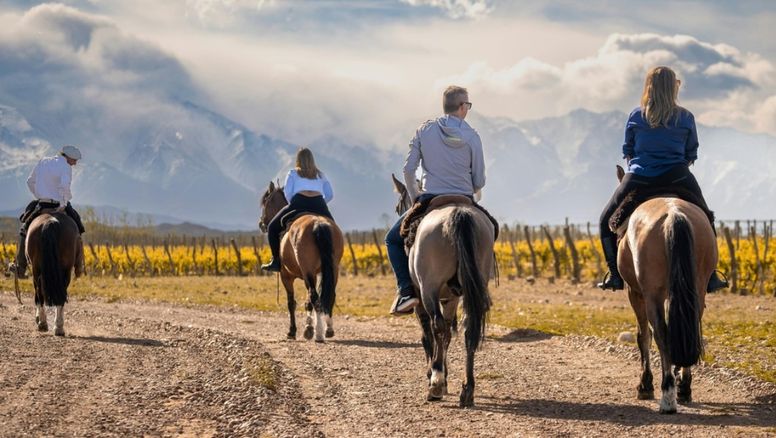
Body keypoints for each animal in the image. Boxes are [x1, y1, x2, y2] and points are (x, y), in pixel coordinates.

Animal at [260, 181, 344, 342]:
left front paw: (293, 331)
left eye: (265, 202)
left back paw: (318, 334)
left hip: (307, 271)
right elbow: (309, 301)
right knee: (328, 296)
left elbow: (291, 303)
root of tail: (318, 223)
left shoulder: (287, 276)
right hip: (332, 269)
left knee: (314, 296)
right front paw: (309, 326)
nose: (261, 224)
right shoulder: (317, 274)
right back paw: (328, 329)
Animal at [392, 175, 494, 408]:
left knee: (436, 327)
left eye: (398, 206)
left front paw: (435, 375)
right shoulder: (451, 298)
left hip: (428, 289)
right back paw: (467, 390)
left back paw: (436, 385)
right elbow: (447, 334)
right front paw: (444, 377)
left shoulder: (421, 298)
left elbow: (428, 335)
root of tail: (458, 213)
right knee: (467, 330)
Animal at [612, 165, 716, 414]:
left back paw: (667, 395)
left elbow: (643, 336)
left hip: (651, 295)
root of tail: (674, 214)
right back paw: (684, 388)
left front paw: (645, 385)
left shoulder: (635, 292)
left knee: (660, 333)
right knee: (690, 328)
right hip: (696, 288)